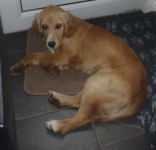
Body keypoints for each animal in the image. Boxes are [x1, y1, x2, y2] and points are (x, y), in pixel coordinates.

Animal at [10, 5, 147, 135]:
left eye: (58, 25)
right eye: (44, 26)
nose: (51, 44)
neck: (67, 33)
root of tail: (141, 95)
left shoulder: (65, 55)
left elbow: (40, 58)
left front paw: (51, 68)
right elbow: (34, 55)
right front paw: (18, 66)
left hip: (97, 81)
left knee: (82, 117)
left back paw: (58, 125)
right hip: (92, 82)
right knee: (77, 100)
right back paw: (57, 98)